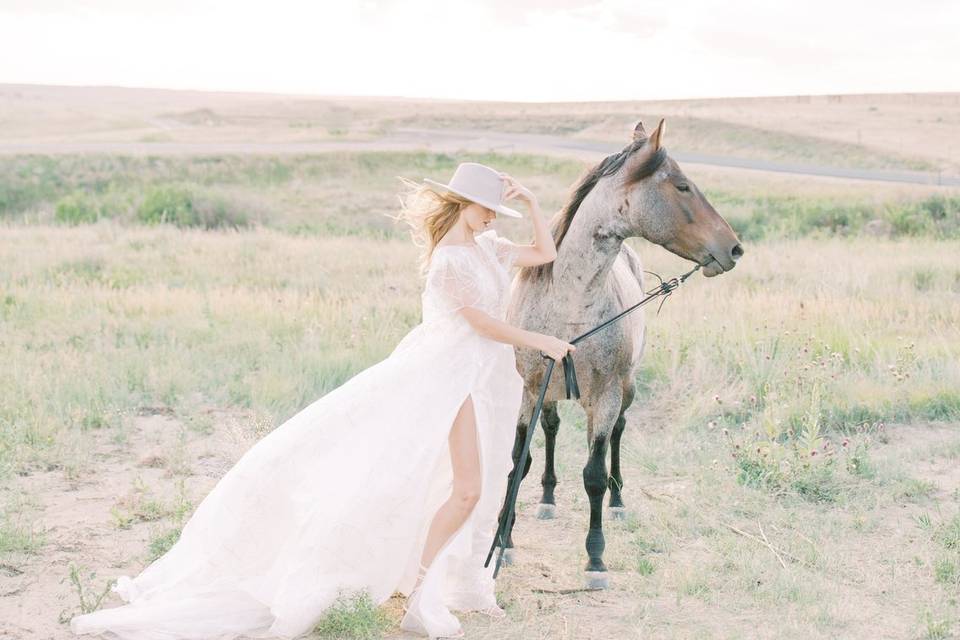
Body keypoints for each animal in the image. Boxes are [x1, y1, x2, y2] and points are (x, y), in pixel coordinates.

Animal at [496, 117, 744, 588]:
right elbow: (519, 459)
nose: (735, 248)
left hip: (623, 391)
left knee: (616, 435)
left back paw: (617, 503)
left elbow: (594, 474)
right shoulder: (528, 388)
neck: (571, 306)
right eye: (682, 186)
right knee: (552, 430)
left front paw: (595, 559)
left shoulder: (607, 395)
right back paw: (548, 498)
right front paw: (504, 540)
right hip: (552, 392)